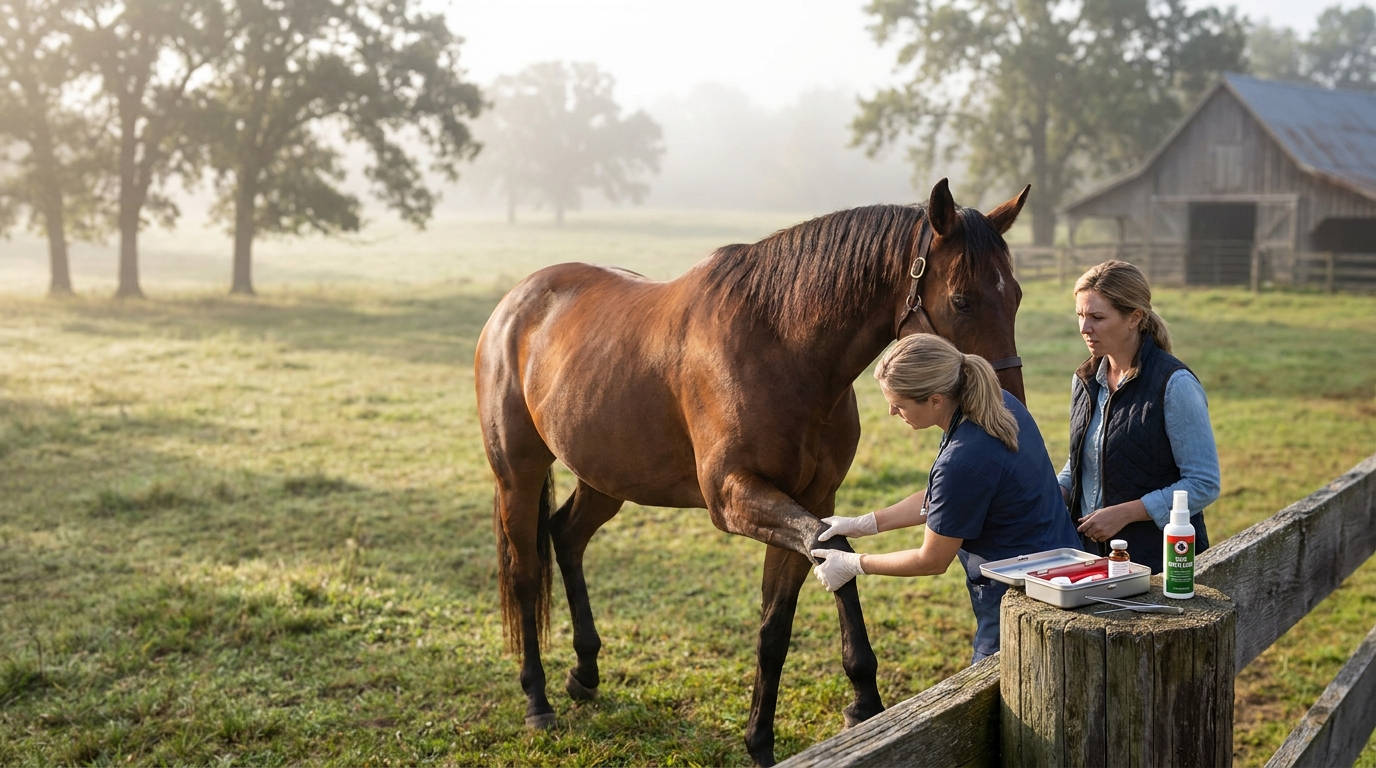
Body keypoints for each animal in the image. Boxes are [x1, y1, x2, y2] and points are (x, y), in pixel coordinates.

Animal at [474, 179, 1029, 766]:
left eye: (1016, 295)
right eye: (961, 300)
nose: (1008, 408)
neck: (781, 345)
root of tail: (516, 302)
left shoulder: (813, 499)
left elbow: (781, 618)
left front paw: (777, 734)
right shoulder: (735, 496)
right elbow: (828, 555)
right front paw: (853, 706)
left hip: (606, 478)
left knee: (566, 536)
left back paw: (584, 671)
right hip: (518, 477)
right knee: (525, 572)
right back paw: (537, 699)